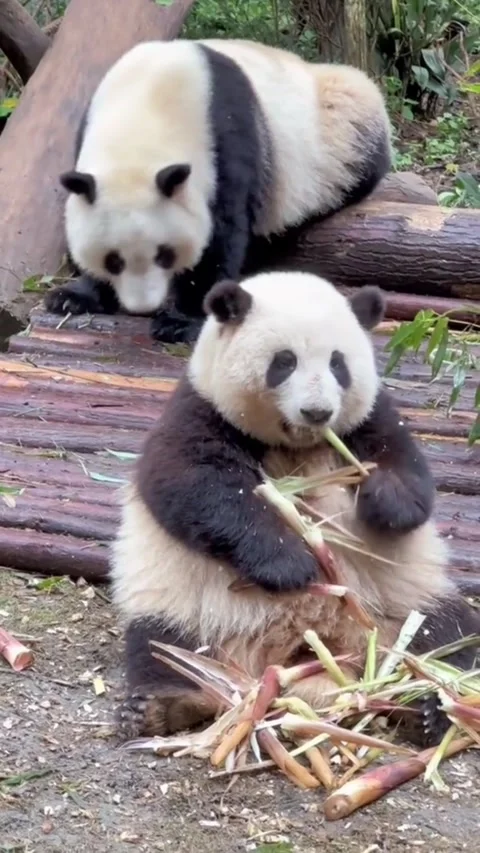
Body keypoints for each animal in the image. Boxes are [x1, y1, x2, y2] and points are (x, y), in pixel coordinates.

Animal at [44, 38, 392, 344]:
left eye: (164, 254)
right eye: (113, 260)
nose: (143, 307)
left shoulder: (226, 139)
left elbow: (222, 232)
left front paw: (181, 321)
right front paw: (73, 296)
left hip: (340, 130)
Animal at [110, 269, 479, 747]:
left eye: (338, 364)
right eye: (283, 362)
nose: (317, 412)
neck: (297, 445)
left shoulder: (371, 417)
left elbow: (407, 470)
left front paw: (384, 501)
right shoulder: (200, 410)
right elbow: (194, 486)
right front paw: (291, 565)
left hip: (405, 604)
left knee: (447, 636)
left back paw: (430, 707)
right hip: (188, 606)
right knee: (160, 646)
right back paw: (159, 708)